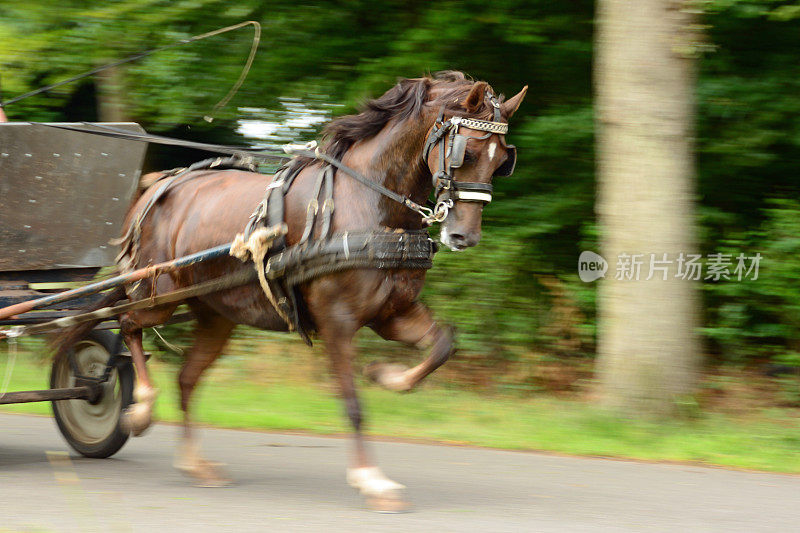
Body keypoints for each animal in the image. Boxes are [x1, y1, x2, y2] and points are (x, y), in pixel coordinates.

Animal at [59, 69, 528, 508]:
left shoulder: (393, 313)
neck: (370, 205)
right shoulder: (338, 321)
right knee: (126, 325)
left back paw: (195, 462)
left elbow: (442, 345)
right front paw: (372, 480)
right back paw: (139, 406)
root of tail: (157, 185)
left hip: (216, 315)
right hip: (156, 294)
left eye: (502, 160)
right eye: (465, 151)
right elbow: (353, 402)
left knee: (186, 377)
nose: (464, 236)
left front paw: (388, 376)